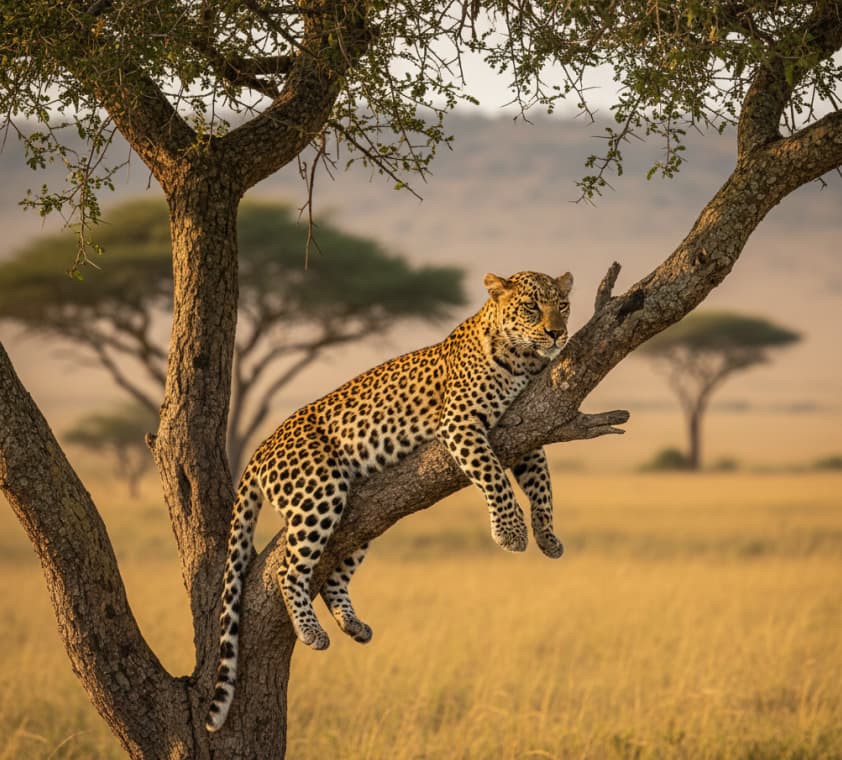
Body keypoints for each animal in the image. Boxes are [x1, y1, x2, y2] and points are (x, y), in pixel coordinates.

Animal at [205, 270, 573, 732]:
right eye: (531, 307)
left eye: (563, 305)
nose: (558, 333)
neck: (523, 358)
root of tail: (258, 451)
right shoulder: (462, 423)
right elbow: (494, 476)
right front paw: (510, 533)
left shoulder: (530, 428)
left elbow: (542, 483)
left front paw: (547, 535)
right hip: (320, 492)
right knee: (290, 569)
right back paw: (311, 632)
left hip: (362, 514)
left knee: (332, 577)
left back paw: (353, 625)